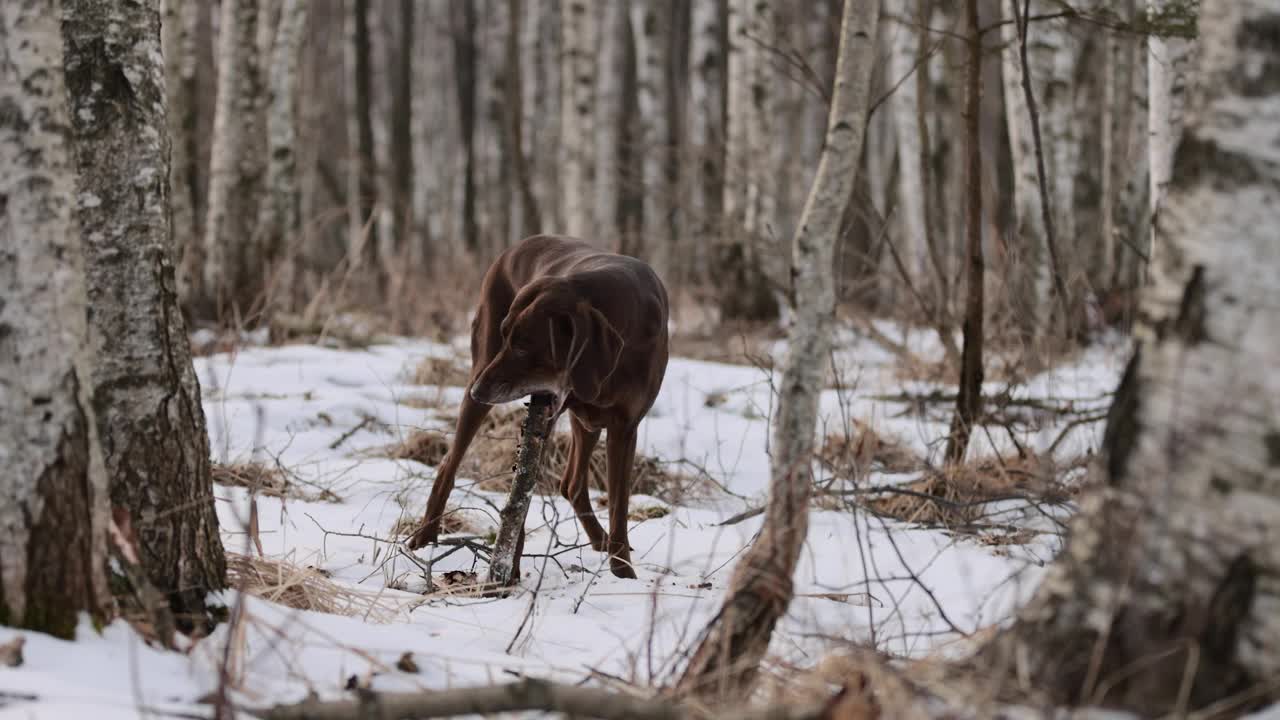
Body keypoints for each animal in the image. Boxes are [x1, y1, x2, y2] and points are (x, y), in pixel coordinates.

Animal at [407, 235, 670, 576]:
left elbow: (618, 506)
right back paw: (425, 536)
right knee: (449, 464)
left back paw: (600, 539)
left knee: (572, 483)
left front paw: (623, 572)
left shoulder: (625, 428)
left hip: (586, 421)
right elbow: (519, 504)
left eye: (523, 346)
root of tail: (515, 246)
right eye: (505, 334)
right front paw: (507, 572)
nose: (478, 391)